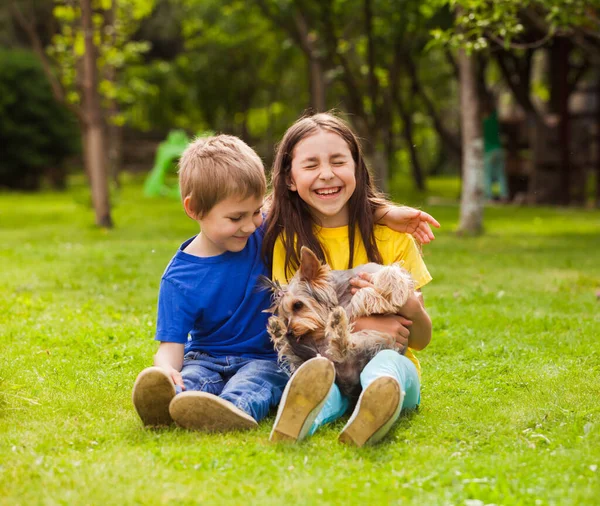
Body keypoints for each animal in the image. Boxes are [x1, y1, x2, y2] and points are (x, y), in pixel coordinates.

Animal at [264, 246, 414, 400]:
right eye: (285, 317)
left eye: (298, 305)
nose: (290, 332)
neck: (340, 292)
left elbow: (389, 272)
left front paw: (394, 294)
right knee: (340, 349)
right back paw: (279, 330)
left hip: (376, 340)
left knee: (343, 350)